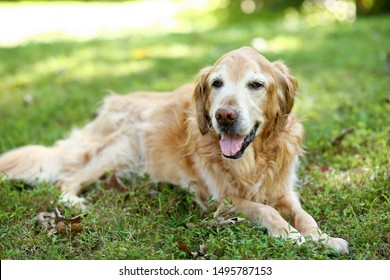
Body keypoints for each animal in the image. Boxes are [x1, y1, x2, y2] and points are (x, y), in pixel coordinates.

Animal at [0, 46, 348, 254]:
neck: (251, 160)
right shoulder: (222, 201)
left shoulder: (284, 190)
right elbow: (265, 210)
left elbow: (304, 215)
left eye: (256, 85)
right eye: (216, 84)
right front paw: (292, 236)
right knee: (67, 180)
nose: (224, 116)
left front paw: (322, 238)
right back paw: (75, 200)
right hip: (123, 146)